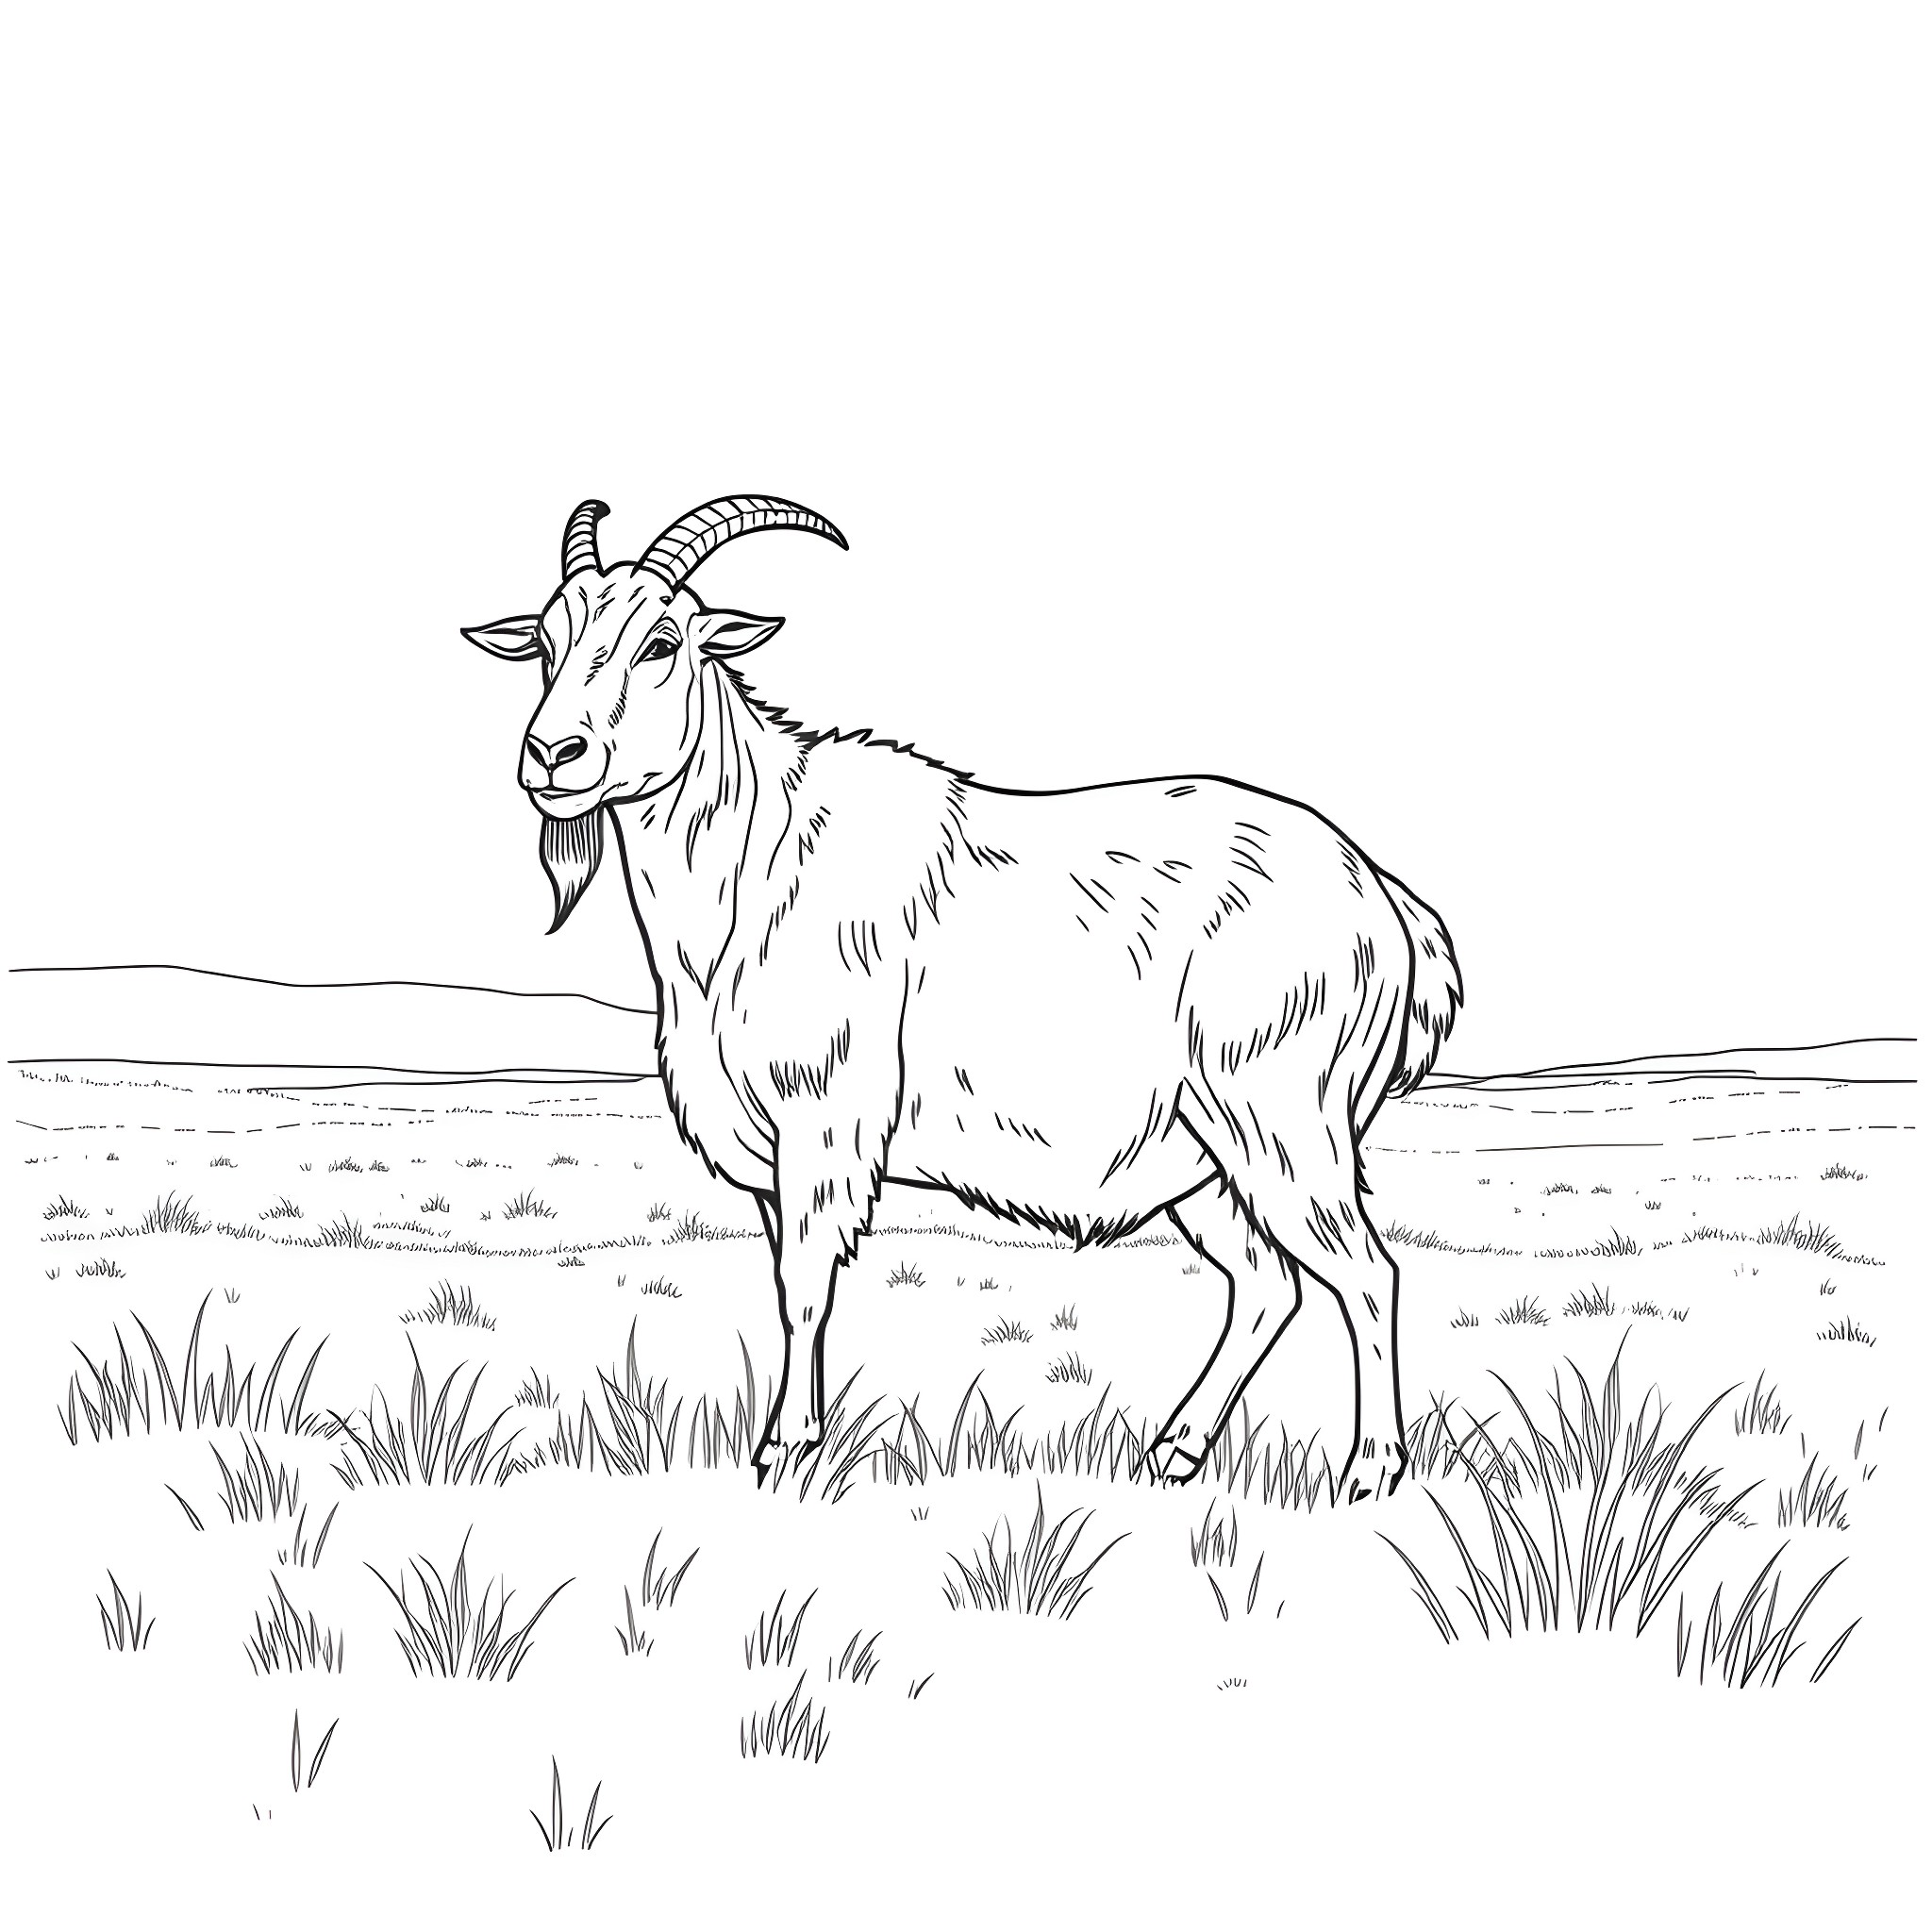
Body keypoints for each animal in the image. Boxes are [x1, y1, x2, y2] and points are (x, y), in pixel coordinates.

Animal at [464, 495, 1462, 1498]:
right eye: (545, 640)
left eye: (663, 642)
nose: (554, 754)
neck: (760, 865)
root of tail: (1387, 901)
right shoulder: (774, 1157)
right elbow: (789, 1284)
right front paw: (796, 1440)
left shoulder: (824, 1127)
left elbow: (805, 1288)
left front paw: (786, 1452)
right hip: (1208, 1155)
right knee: (1267, 1282)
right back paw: (1172, 1453)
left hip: (1286, 1119)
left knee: (1366, 1274)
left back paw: (1370, 1470)